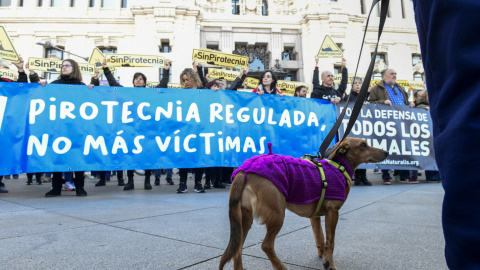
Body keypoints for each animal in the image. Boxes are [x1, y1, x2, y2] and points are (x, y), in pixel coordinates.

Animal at [219, 138, 388, 268]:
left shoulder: (315, 217)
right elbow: (330, 241)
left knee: (237, 249)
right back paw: (281, 267)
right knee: (266, 245)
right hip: (277, 215)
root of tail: (244, 170)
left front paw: (323, 257)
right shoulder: (333, 212)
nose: (386, 152)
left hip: (244, 220)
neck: (339, 167)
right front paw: (330, 264)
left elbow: (320, 238)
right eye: (363, 145)